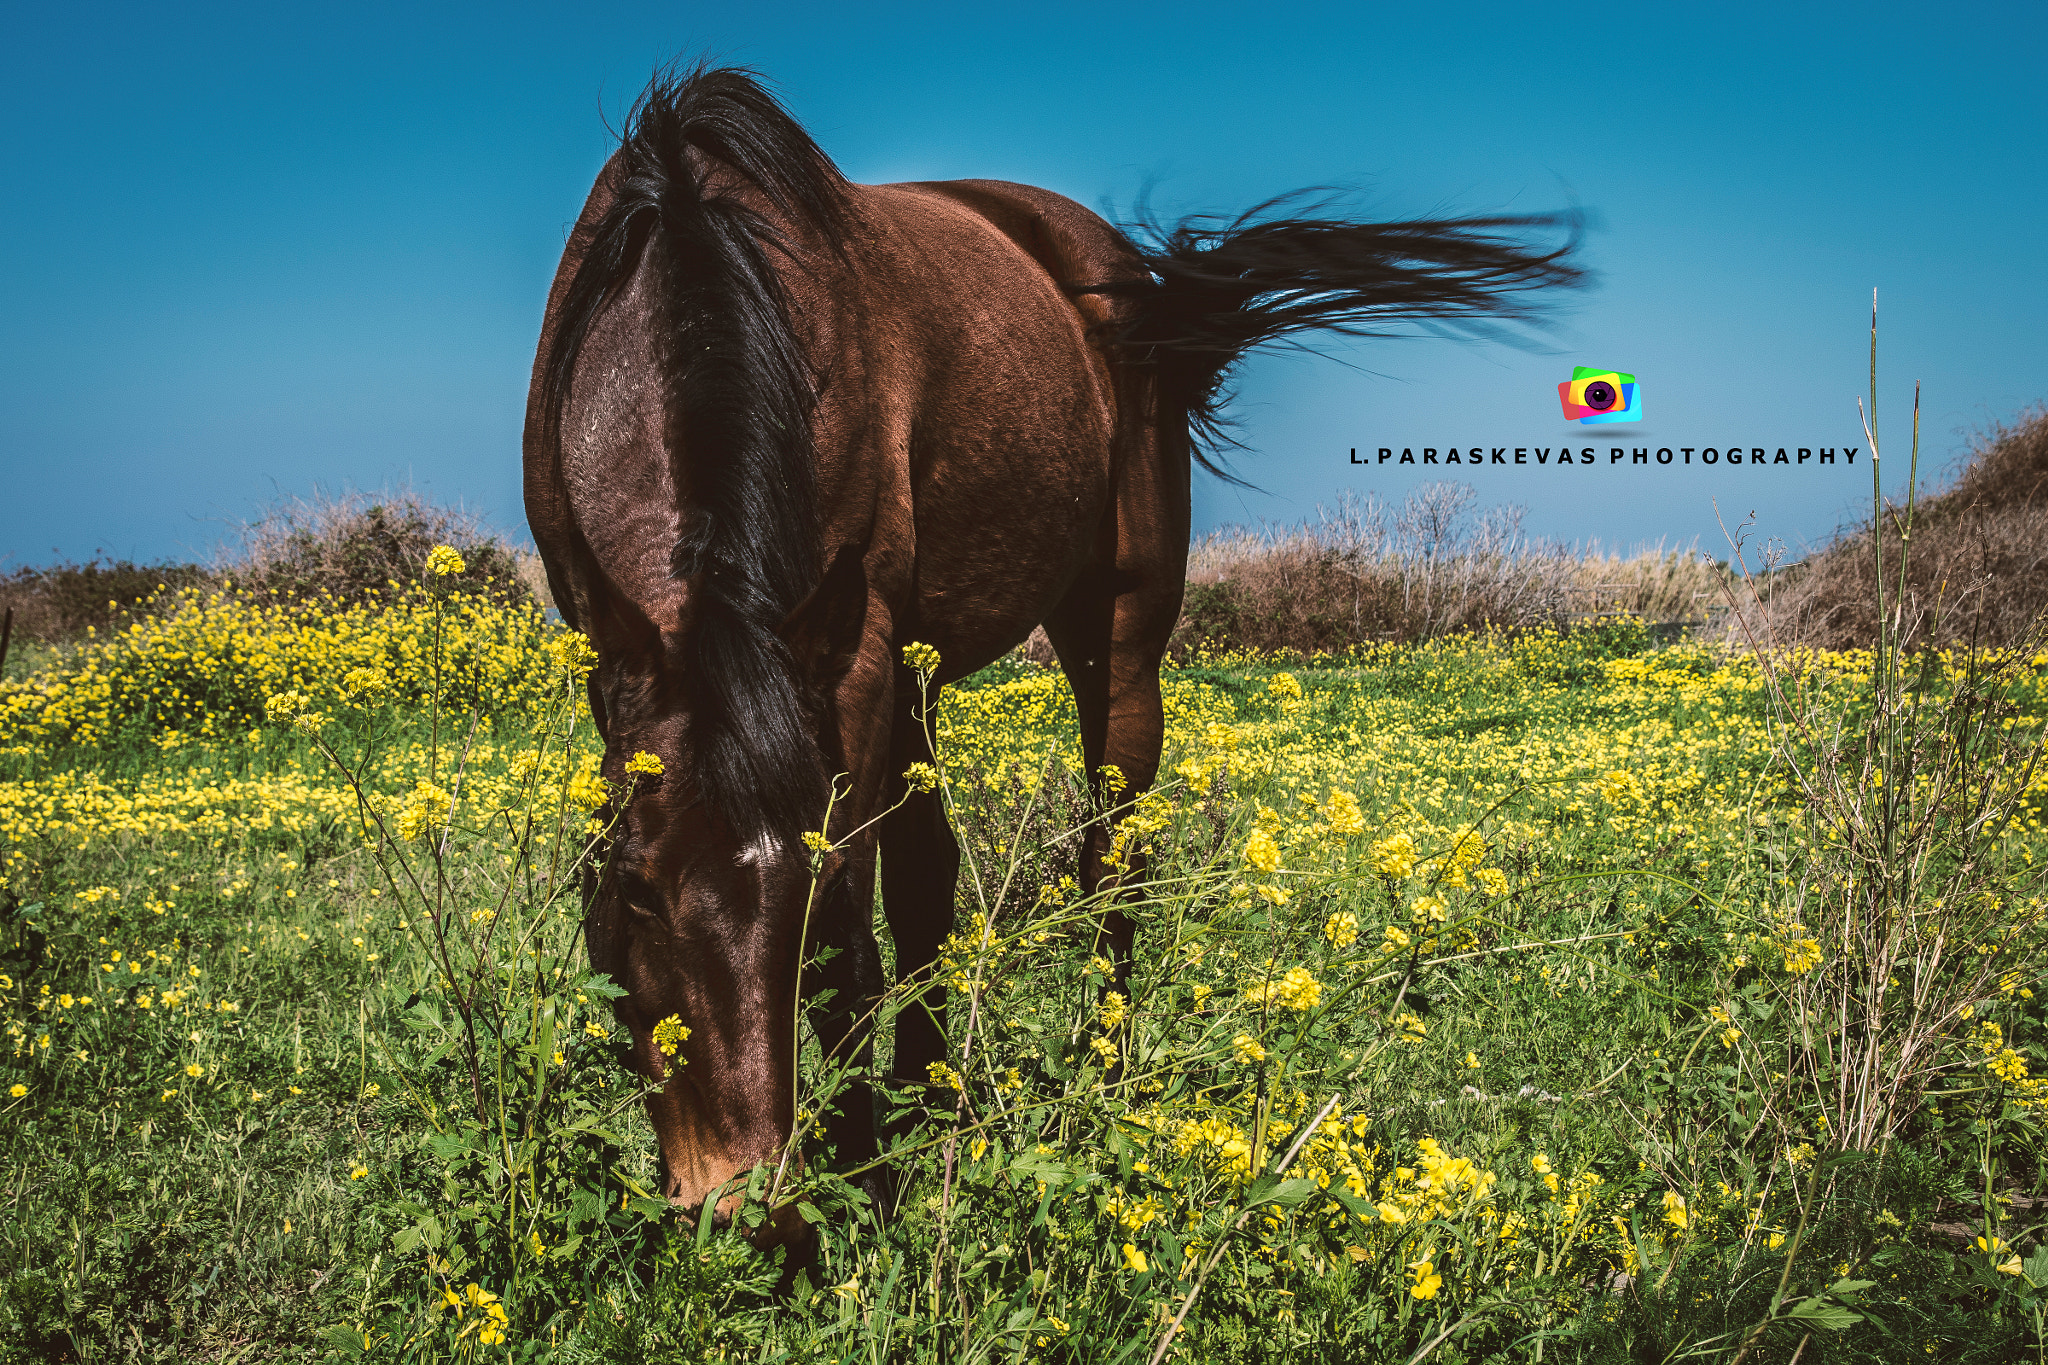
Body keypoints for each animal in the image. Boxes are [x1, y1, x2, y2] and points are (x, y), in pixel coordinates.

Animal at [522, 63, 1581, 1238]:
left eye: (796, 899)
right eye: (632, 891)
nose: (743, 1205)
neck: (690, 284)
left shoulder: (850, 663)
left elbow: (853, 937)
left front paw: (863, 1187)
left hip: (1109, 639)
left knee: (1110, 859)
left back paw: (1101, 1084)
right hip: (917, 676)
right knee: (932, 876)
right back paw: (930, 1097)